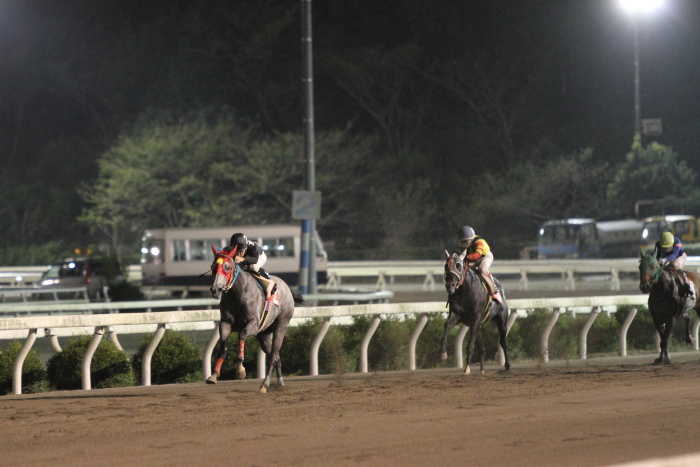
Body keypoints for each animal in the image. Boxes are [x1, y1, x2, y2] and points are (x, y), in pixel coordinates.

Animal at [204, 247, 300, 394]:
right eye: (213, 267)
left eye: (227, 267)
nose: (216, 289)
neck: (237, 294)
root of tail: (287, 288)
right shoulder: (225, 324)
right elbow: (223, 348)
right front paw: (213, 375)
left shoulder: (253, 324)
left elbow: (241, 335)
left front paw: (240, 370)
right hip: (264, 335)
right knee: (276, 357)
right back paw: (280, 382)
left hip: (281, 325)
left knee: (273, 356)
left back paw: (265, 384)